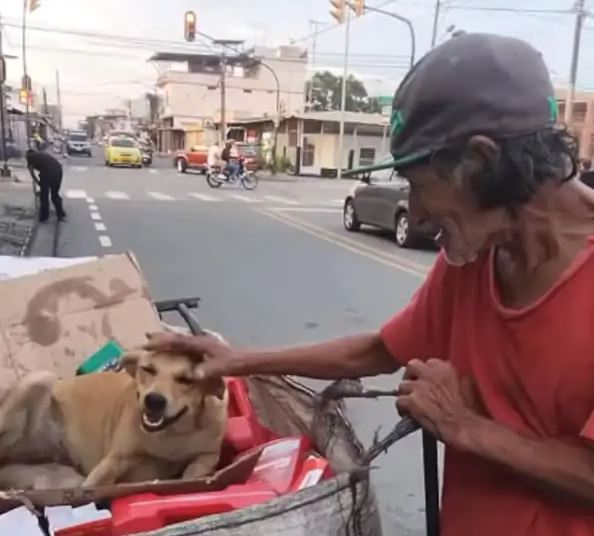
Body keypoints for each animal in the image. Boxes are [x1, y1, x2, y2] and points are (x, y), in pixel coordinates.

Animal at [0, 350, 227, 488]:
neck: (171, 434)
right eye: (148, 369)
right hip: (40, 377)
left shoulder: (209, 453)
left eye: (187, 380)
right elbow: (91, 486)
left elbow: (195, 470)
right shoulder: (113, 462)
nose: (154, 400)